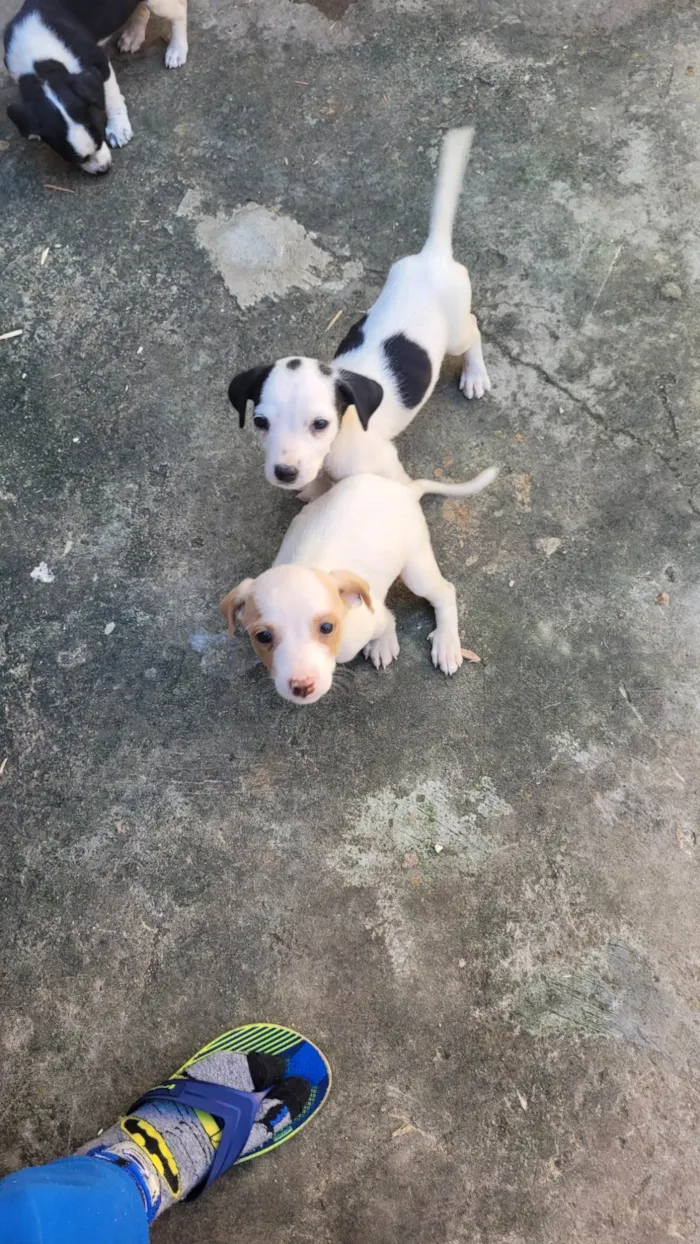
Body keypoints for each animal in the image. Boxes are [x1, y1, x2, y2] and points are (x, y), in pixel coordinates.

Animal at [3, 0, 188, 172]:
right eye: (77, 159)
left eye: (100, 139)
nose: (104, 169)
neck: (40, 66)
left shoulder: (99, 62)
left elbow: (111, 97)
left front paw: (118, 128)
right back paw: (134, 35)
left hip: (159, 4)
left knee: (179, 11)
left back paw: (177, 49)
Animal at [218, 465, 497, 706]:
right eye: (263, 636)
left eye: (327, 627)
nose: (302, 686)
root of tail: (403, 490)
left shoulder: (372, 617)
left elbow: (388, 621)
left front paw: (383, 643)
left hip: (417, 569)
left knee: (445, 592)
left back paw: (447, 643)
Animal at [230, 125, 492, 495]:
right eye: (260, 421)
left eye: (320, 423)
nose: (285, 473)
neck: (342, 434)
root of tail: (434, 255)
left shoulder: (386, 470)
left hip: (455, 331)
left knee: (473, 329)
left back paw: (475, 374)